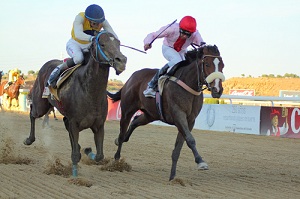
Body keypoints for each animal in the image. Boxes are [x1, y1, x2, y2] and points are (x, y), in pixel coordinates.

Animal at [23, 30, 126, 176]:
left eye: (118, 43)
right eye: (102, 44)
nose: (121, 60)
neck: (90, 91)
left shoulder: (98, 125)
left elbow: (99, 156)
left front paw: (87, 150)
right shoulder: (74, 122)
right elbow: (76, 155)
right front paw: (75, 175)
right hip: (40, 105)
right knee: (32, 112)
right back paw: (29, 139)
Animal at [108, 44, 225, 180]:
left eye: (222, 65)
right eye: (207, 64)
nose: (217, 90)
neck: (187, 84)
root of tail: (132, 77)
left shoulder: (190, 120)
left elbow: (179, 146)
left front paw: (172, 176)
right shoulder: (179, 115)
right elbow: (190, 140)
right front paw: (200, 162)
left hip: (150, 114)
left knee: (135, 121)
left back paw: (119, 141)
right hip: (127, 110)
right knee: (122, 132)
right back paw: (116, 159)